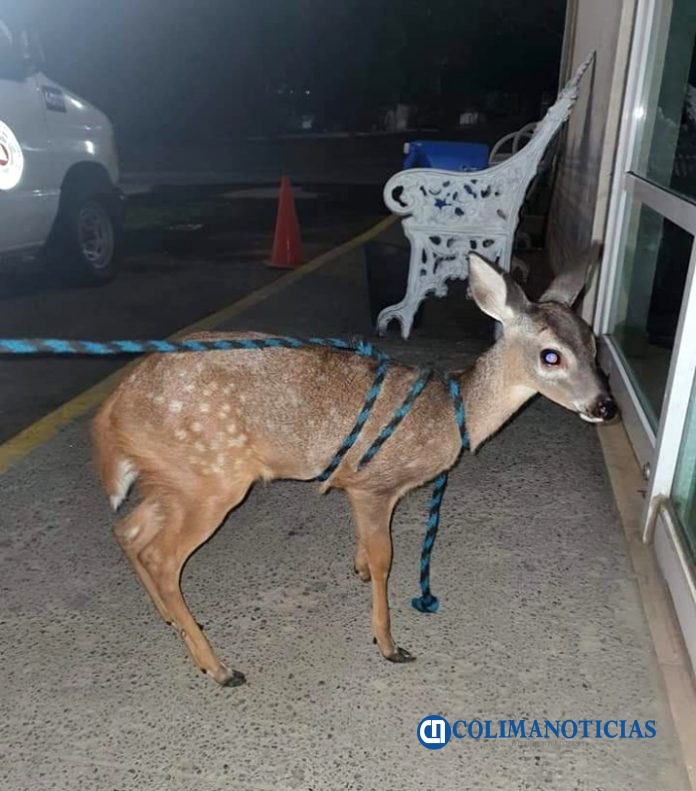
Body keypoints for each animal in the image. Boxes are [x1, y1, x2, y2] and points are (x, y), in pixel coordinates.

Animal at [92, 253, 617, 687]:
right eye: (551, 355)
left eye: (594, 346)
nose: (606, 406)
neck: (449, 415)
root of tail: (113, 410)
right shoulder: (375, 484)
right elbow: (387, 559)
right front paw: (388, 644)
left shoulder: (364, 488)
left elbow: (368, 551)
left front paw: (359, 570)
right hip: (211, 478)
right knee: (161, 556)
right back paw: (218, 667)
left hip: (174, 477)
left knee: (128, 530)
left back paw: (174, 623)